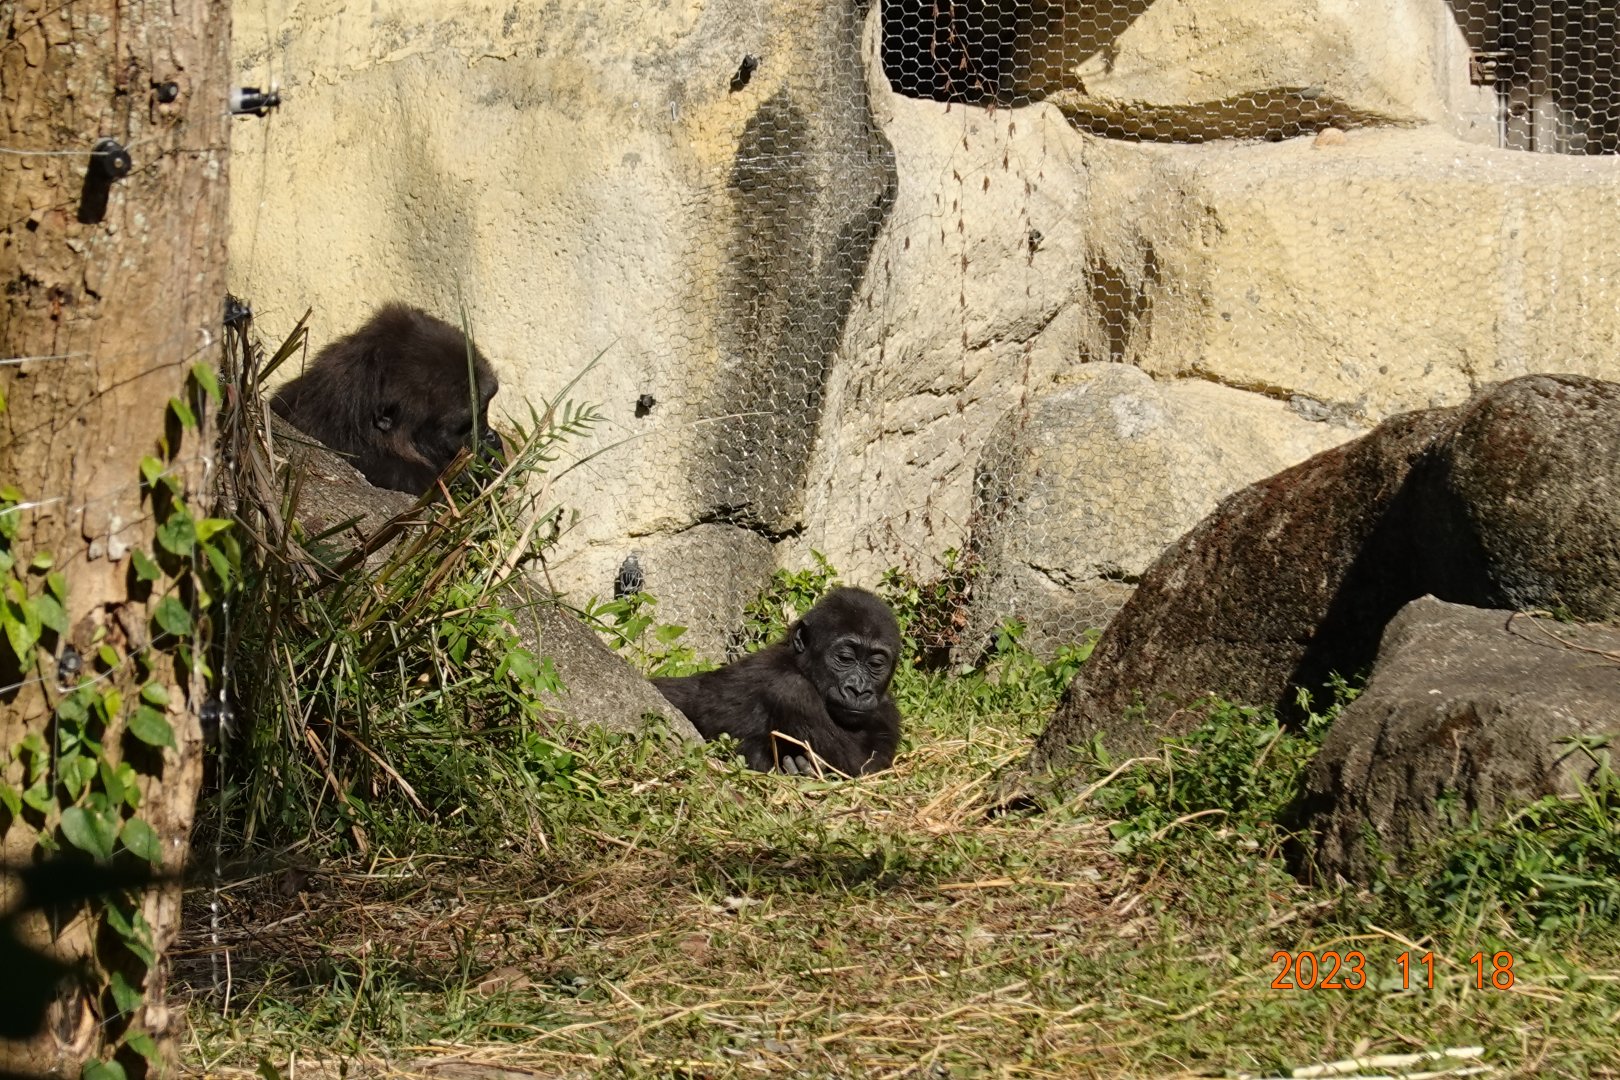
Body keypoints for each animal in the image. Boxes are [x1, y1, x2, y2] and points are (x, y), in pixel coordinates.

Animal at [653, 587, 903, 777]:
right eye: (845, 658)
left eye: (875, 664)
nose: (858, 690)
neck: (798, 664)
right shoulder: (793, 690)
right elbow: (858, 765)